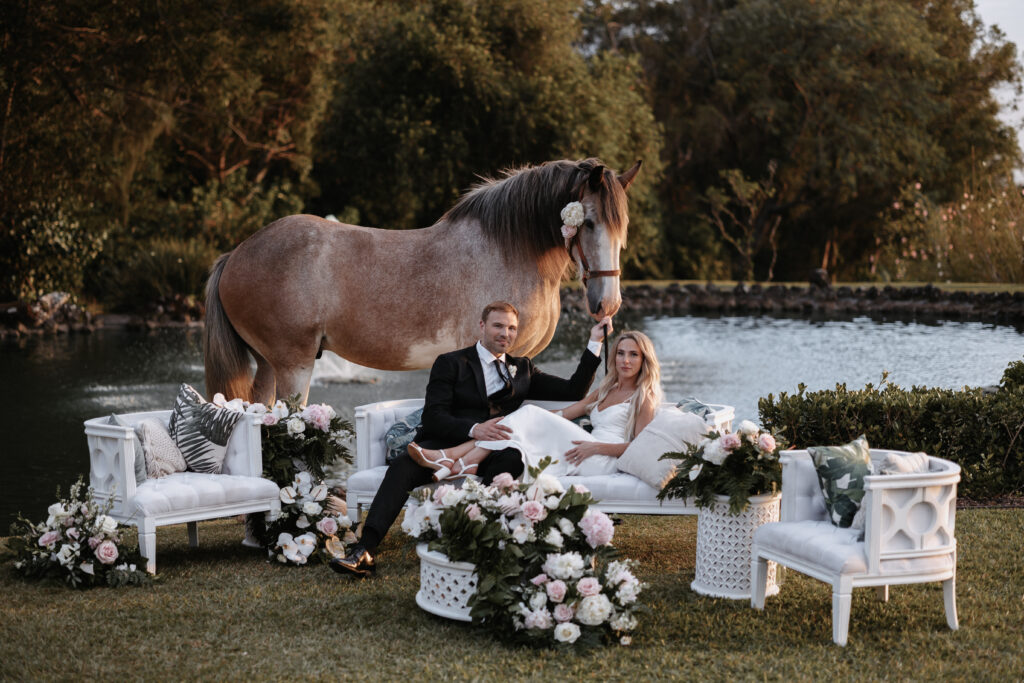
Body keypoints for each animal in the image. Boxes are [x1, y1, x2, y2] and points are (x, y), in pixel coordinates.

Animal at [204, 157, 642, 405]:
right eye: (587, 222)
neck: (507, 250)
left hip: (268, 364)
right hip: (293, 365)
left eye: (623, 228)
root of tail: (235, 255)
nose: (607, 304)